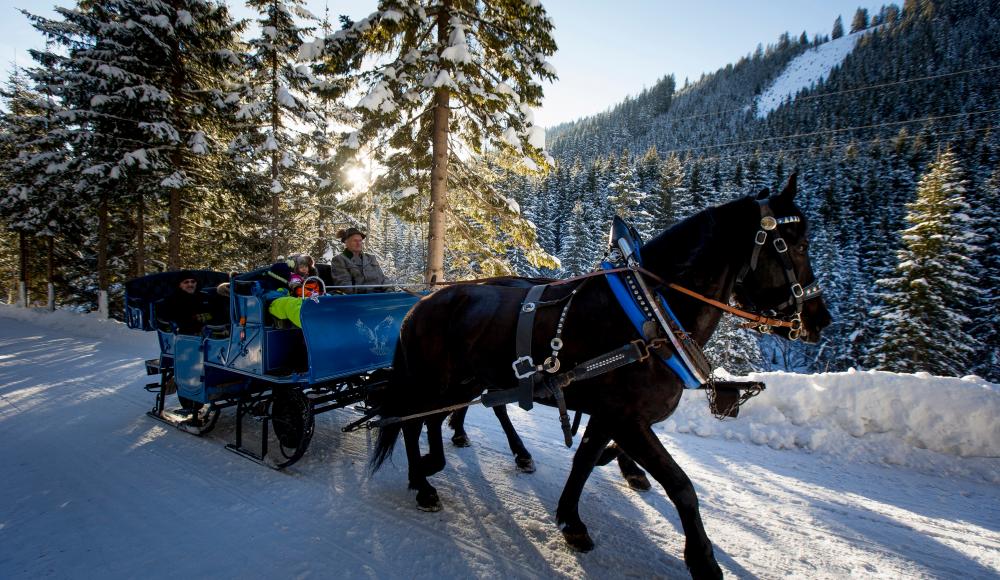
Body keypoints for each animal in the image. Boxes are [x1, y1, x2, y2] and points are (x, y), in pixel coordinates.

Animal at [368, 178, 828, 580]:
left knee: (436, 419)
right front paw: (702, 558)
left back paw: (441, 460)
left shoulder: (610, 416)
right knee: (410, 424)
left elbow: (585, 460)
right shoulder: (627, 419)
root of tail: (421, 303)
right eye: (799, 245)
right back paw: (423, 481)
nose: (820, 319)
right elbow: (681, 485)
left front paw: (572, 519)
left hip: (460, 383)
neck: (651, 312)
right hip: (431, 381)